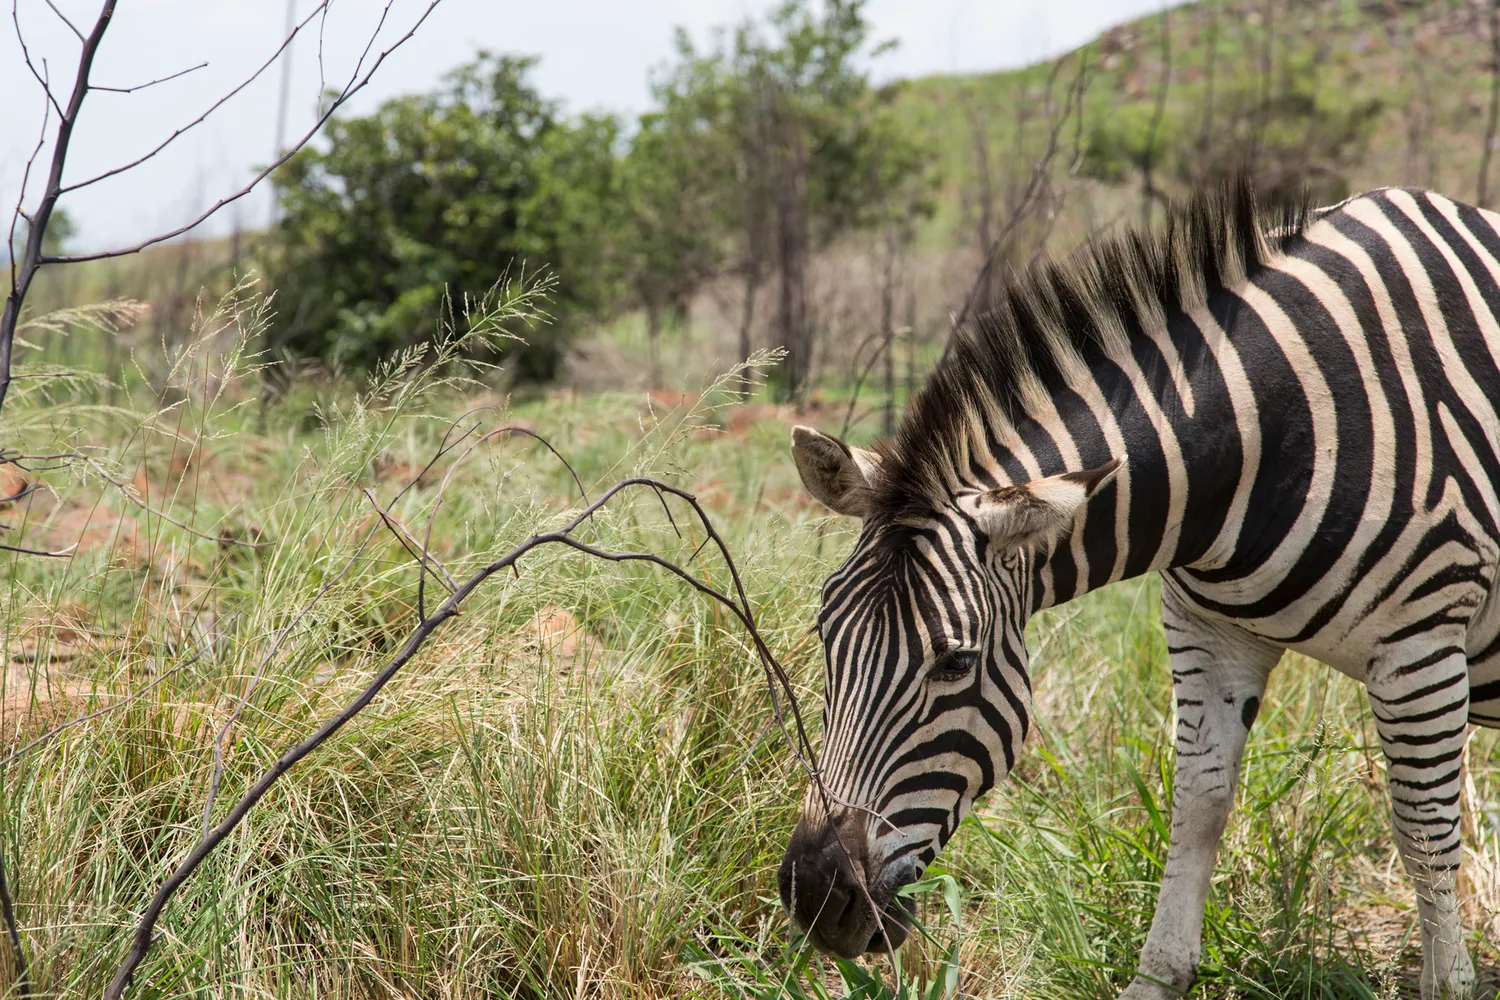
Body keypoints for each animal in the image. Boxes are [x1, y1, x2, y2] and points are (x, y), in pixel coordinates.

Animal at [776, 179, 1500, 999]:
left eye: (955, 663)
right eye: (824, 635)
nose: (815, 896)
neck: (1266, 436)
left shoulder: (1420, 641)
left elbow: (1423, 828)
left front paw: (1449, 984)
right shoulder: (1208, 631)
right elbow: (1199, 802)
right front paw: (1159, 975)